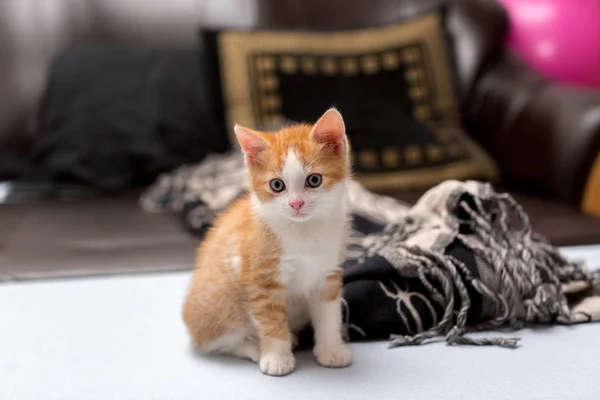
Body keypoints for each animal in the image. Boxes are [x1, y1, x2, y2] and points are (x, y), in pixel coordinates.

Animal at [183, 108, 352, 376]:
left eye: (314, 180)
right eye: (277, 185)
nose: (296, 203)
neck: (304, 231)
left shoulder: (328, 273)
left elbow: (328, 314)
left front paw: (331, 349)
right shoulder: (260, 280)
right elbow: (270, 319)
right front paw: (276, 357)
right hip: (222, 304)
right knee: (215, 343)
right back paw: (254, 347)